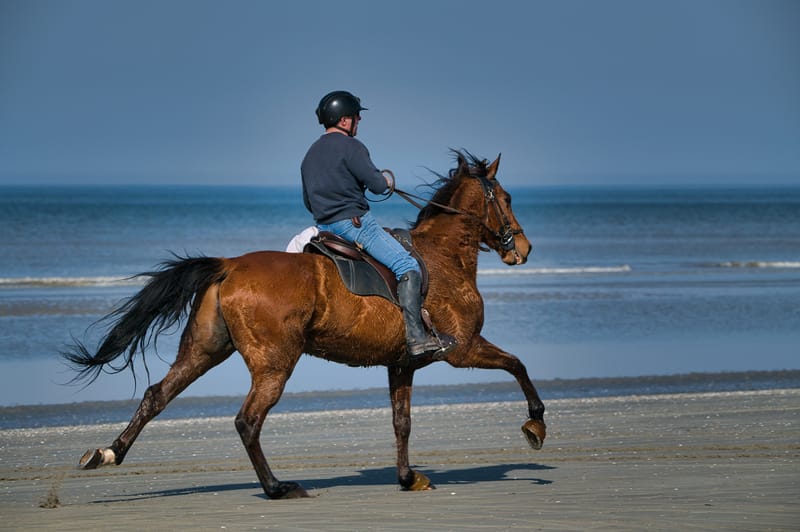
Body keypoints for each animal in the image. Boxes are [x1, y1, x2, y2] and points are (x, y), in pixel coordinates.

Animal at [63, 150, 547, 499]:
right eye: (505, 199)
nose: (523, 248)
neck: (443, 258)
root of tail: (229, 266)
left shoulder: (402, 364)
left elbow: (402, 422)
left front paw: (408, 478)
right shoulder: (462, 348)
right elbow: (518, 365)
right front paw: (535, 426)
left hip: (205, 350)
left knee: (156, 396)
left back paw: (107, 453)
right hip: (274, 363)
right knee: (247, 421)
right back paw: (278, 488)